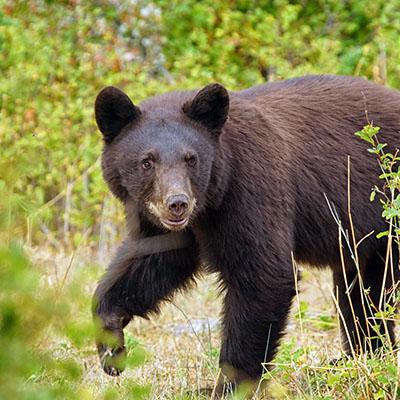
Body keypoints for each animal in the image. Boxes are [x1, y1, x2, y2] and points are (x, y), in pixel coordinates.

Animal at [93, 75, 400, 394]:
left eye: (191, 159)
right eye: (147, 161)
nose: (177, 203)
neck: (210, 202)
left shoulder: (250, 190)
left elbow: (262, 276)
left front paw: (229, 386)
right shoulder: (169, 225)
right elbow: (153, 262)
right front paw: (112, 347)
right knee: (361, 291)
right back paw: (358, 358)